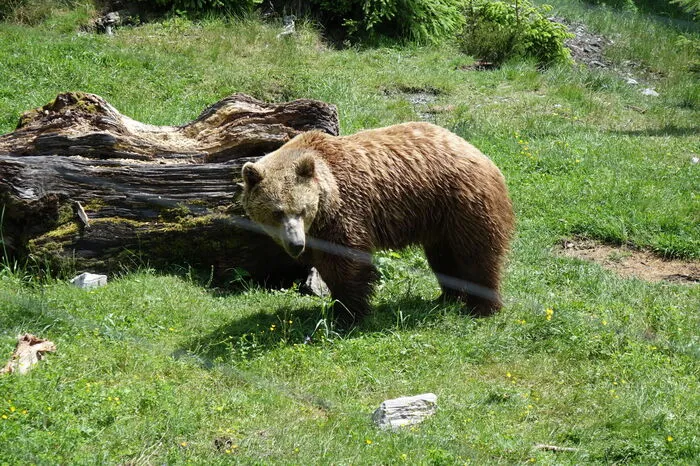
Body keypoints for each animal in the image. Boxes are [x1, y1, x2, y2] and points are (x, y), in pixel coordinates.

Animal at [240, 122, 514, 323]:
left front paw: (348, 314)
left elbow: (347, 263)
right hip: (439, 219)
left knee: (476, 255)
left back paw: (482, 308)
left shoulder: (346, 213)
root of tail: (479, 153)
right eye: (277, 212)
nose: (296, 244)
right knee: (443, 257)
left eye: (302, 210)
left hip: (462, 201)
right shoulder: (319, 231)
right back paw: (447, 297)